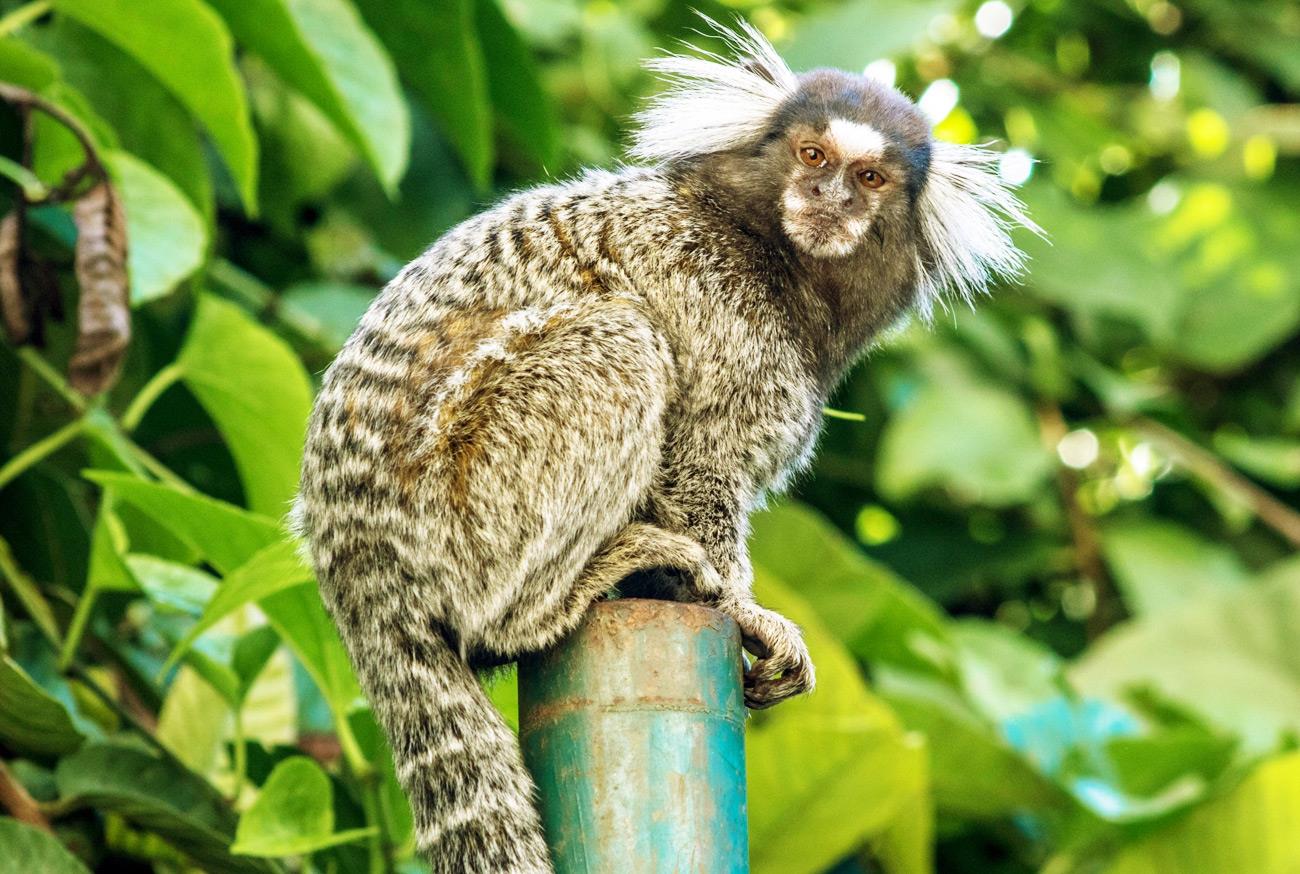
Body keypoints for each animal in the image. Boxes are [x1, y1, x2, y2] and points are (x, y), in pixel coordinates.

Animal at [292, 18, 1034, 874]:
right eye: (812, 155)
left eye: (871, 176)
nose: (828, 198)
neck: (771, 254)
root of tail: (351, 566)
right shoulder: (718, 309)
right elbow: (697, 470)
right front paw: (745, 612)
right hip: (461, 500)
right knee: (619, 343)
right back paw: (542, 604)